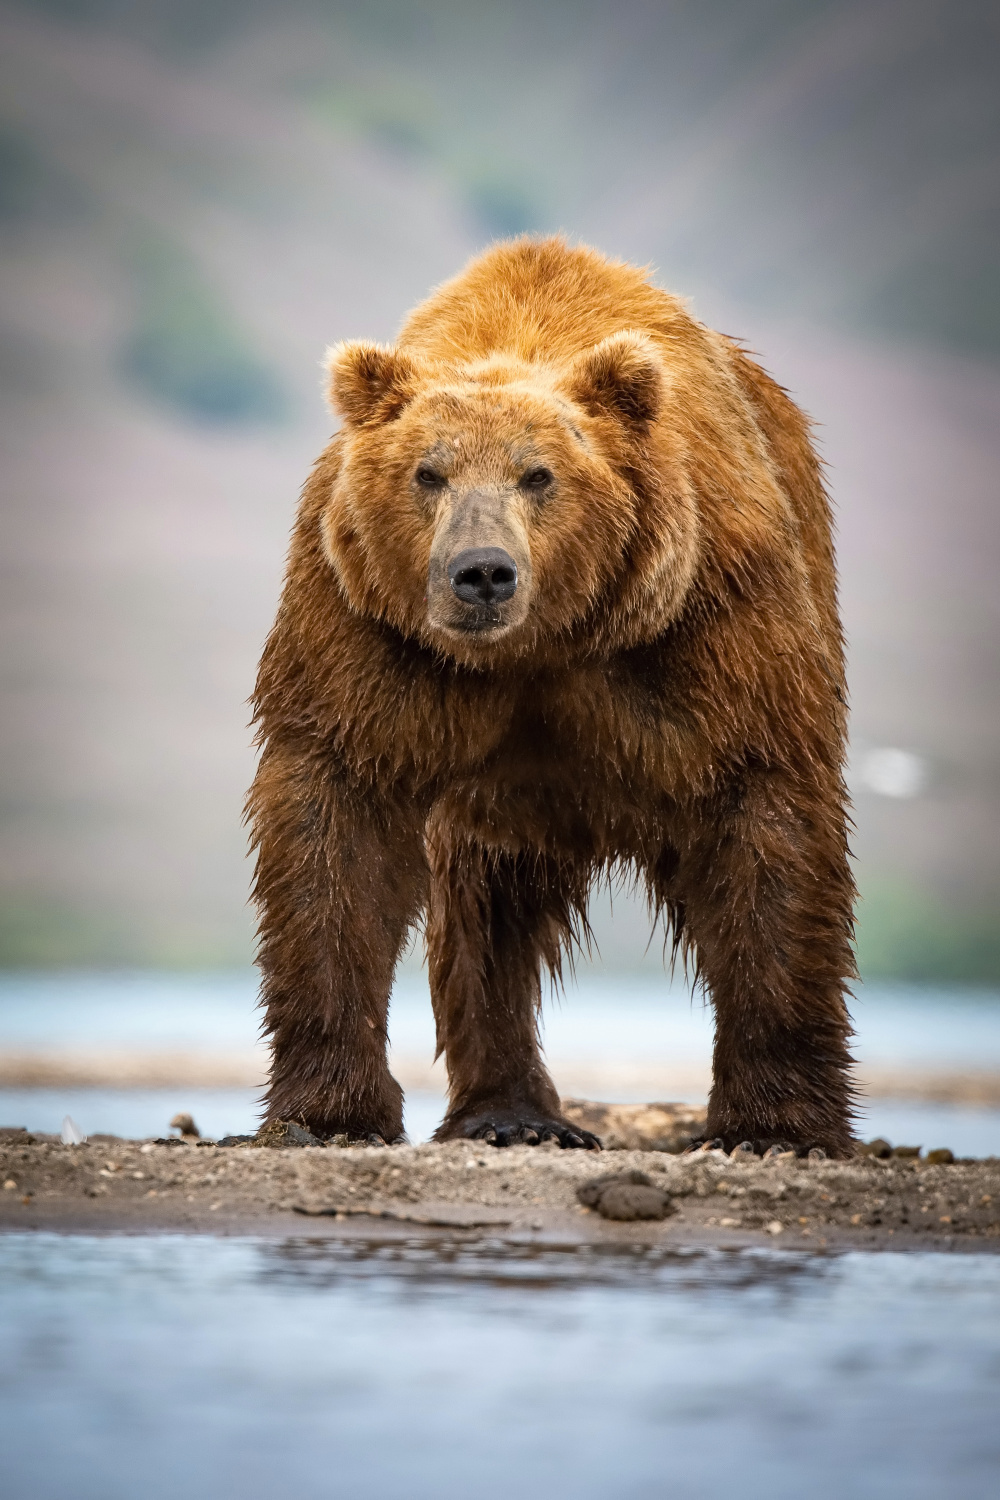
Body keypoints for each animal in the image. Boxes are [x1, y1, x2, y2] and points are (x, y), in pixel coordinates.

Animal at [245, 234, 857, 1152]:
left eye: (539, 475)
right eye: (428, 473)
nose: (482, 572)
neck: (545, 643)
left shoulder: (708, 614)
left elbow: (766, 815)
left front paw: (773, 1124)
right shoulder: (364, 625)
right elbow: (333, 819)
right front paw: (327, 1113)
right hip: (494, 804)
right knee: (484, 909)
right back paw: (512, 1115)